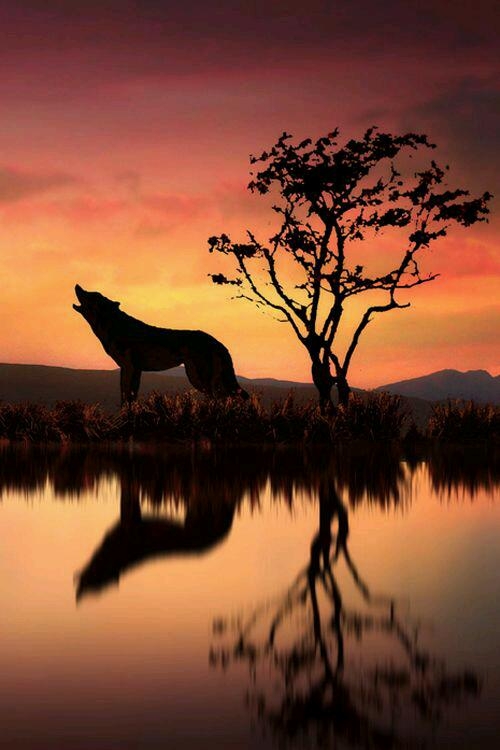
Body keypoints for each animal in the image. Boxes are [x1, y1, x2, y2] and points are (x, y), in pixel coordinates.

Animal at [73, 284, 249, 404]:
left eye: (90, 294)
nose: (77, 285)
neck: (114, 326)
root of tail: (218, 342)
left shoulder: (130, 368)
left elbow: (127, 398)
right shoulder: (132, 369)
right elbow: (129, 399)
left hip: (199, 380)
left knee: (222, 399)